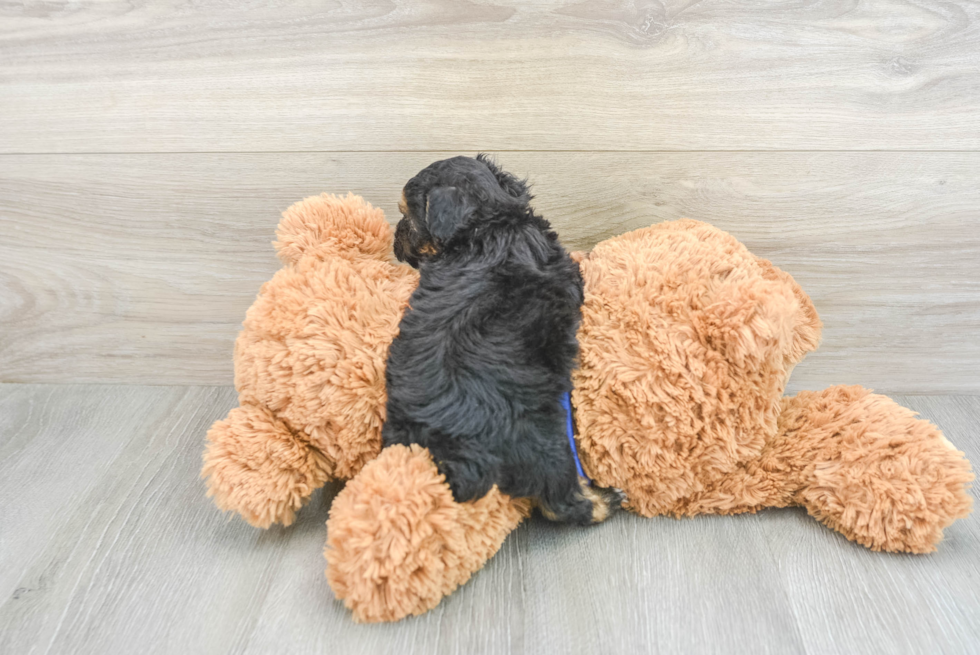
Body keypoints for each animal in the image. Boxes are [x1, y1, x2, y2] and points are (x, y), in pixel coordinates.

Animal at [380, 155, 620, 528]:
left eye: (407, 215)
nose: (395, 239)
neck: (489, 224)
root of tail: (453, 445)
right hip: (541, 436)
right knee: (557, 497)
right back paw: (601, 501)